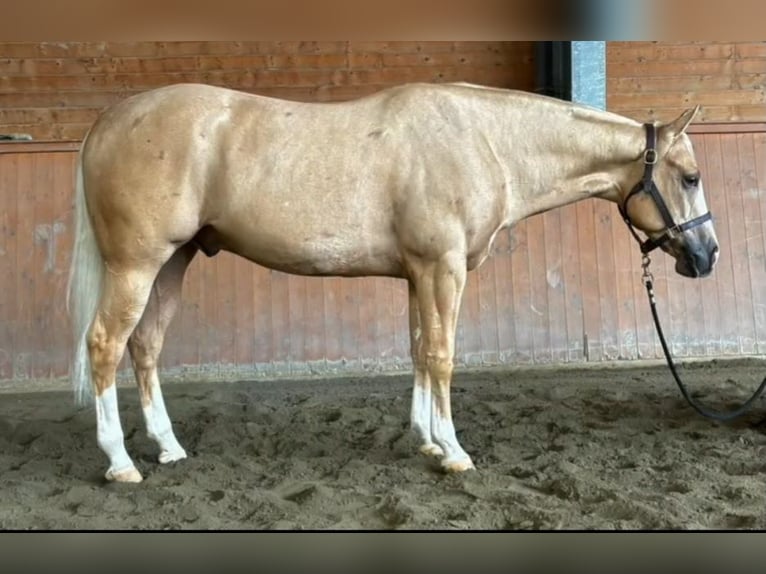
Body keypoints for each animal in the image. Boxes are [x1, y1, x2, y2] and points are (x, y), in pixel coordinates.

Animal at [67, 81, 719, 483]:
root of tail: (107, 123)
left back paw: (168, 448)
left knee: (145, 346)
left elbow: (418, 350)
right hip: (137, 265)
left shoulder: (418, 273)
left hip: (173, 263)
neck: (483, 140)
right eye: (690, 176)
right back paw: (121, 462)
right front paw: (453, 452)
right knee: (105, 345)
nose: (707, 255)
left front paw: (426, 439)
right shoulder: (442, 267)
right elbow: (443, 354)